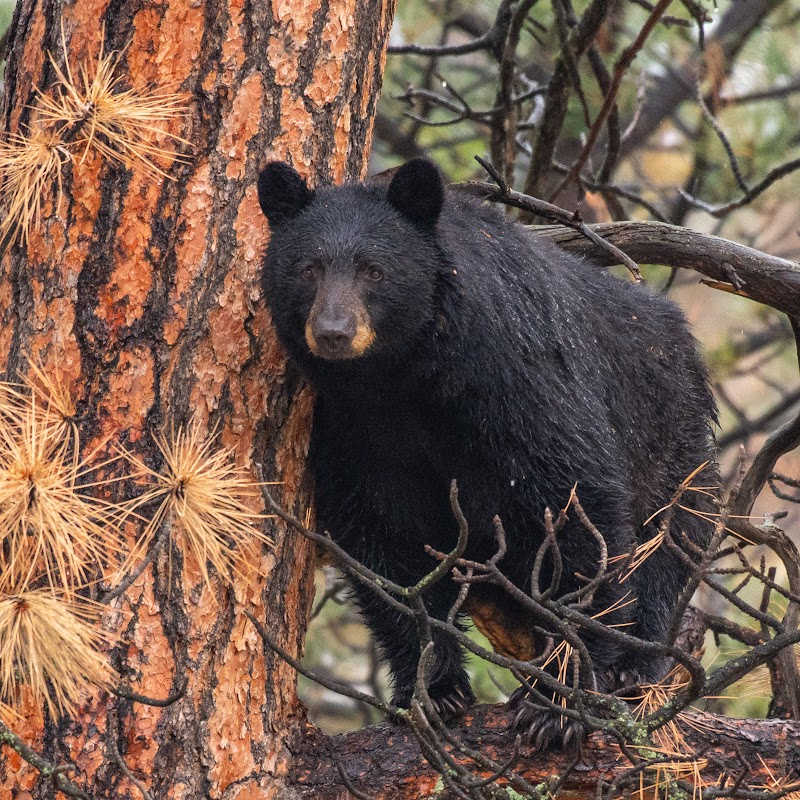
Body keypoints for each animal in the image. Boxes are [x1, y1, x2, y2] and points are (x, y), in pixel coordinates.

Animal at [257, 158, 717, 749]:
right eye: (309, 269)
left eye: (374, 270)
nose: (334, 331)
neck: (404, 375)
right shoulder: (352, 424)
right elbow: (381, 538)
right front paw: (432, 690)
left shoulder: (513, 376)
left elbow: (571, 502)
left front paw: (558, 702)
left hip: (670, 438)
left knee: (668, 540)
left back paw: (635, 665)